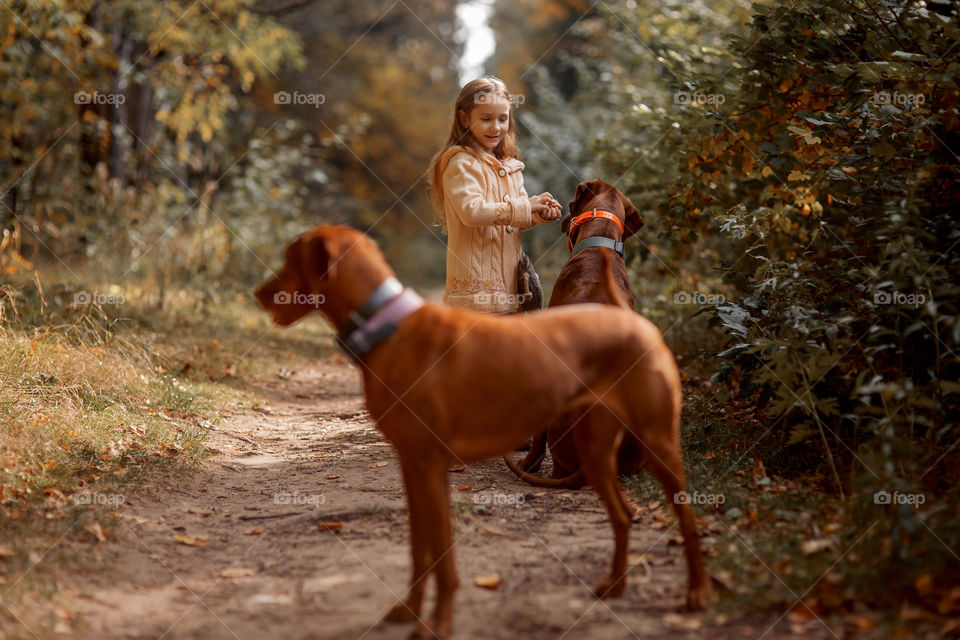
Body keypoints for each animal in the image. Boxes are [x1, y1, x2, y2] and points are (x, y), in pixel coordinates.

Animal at [255, 225, 712, 640]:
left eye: (289, 257)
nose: (258, 294)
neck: (389, 328)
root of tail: (635, 322)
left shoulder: (430, 467)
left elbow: (442, 557)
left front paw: (437, 625)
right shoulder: (412, 466)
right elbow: (419, 549)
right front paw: (408, 610)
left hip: (657, 441)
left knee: (686, 518)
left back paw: (697, 594)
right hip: (594, 451)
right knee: (622, 515)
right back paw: (614, 586)